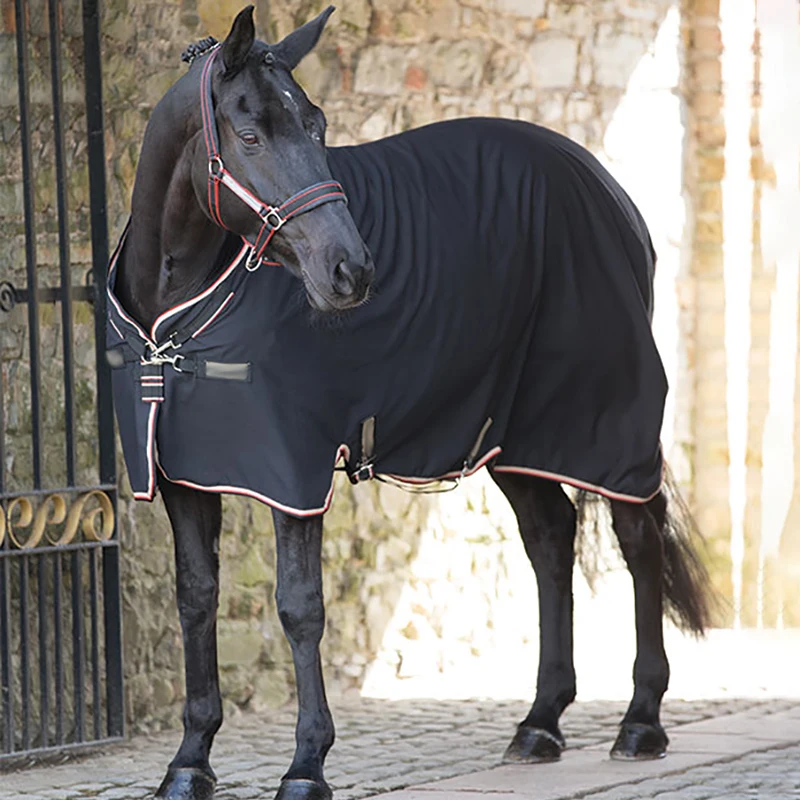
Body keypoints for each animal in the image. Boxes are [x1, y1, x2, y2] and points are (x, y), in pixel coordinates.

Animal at [106, 6, 713, 799]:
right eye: (250, 134)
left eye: (318, 124)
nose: (351, 270)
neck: (172, 315)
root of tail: (608, 191)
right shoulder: (184, 472)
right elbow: (196, 598)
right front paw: (188, 762)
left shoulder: (292, 472)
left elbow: (299, 608)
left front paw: (307, 765)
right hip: (515, 435)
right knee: (551, 541)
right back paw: (540, 722)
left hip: (607, 421)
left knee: (638, 538)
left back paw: (640, 720)